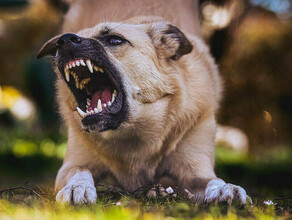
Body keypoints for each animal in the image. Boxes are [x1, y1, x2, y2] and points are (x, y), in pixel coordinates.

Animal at [37, 0, 249, 205]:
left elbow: (212, 180)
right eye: (60, 43)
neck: (132, 133)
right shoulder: (71, 165)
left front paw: (224, 188)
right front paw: (77, 187)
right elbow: (80, 171)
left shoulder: (197, 170)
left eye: (115, 40)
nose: (63, 40)